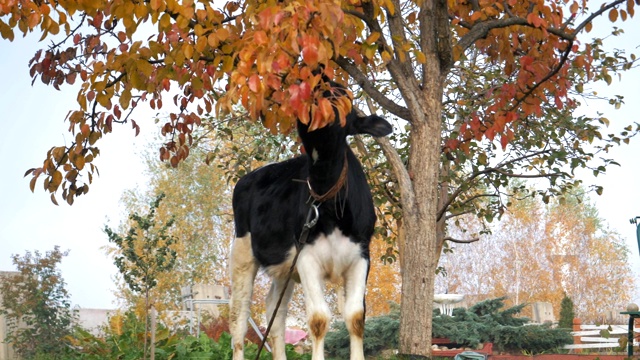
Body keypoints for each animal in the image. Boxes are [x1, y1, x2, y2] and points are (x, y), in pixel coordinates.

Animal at [230, 98, 390, 360]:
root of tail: (250, 176)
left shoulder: (361, 256)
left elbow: (356, 317)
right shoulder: (306, 258)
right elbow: (318, 319)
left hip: (285, 269)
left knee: (275, 311)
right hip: (242, 252)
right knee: (239, 317)